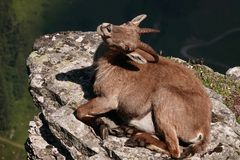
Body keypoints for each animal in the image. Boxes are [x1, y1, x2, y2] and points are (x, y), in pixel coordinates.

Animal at [76, 14, 211, 159]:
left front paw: (102, 127)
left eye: (127, 47)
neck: (111, 63)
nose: (107, 28)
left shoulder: (108, 99)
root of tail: (203, 129)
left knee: (175, 150)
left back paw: (138, 139)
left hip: (164, 100)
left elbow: (79, 111)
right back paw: (126, 131)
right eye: (126, 23)